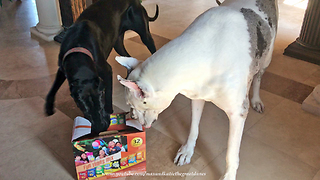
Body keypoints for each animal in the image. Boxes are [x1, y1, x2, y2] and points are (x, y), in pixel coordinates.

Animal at [45, 0, 159, 135]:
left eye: (100, 103)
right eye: (85, 109)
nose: (101, 128)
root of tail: (136, 2)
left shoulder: (106, 70)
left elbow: (108, 94)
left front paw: (109, 111)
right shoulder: (62, 69)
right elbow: (53, 87)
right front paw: (48, 107)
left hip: (145, 34)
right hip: (117, 43)